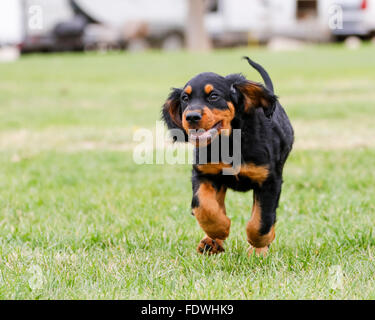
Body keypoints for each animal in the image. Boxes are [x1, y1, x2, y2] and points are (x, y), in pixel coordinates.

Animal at [162, 57, 294, 256]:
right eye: (185, 98)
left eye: (213, 96)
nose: (191, 117)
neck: (229, 142)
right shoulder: (204, 174)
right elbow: (202, 206)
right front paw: (219, 229)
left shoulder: (269, 180)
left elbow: (261, 220)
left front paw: (260, 246)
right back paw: (211, 242)